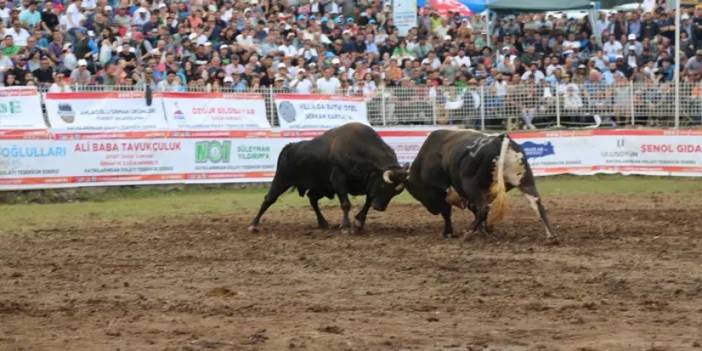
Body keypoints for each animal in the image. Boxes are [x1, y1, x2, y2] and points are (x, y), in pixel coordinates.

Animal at [252, 124, 408, 234]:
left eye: (394, 193)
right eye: (383, 186)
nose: (380, 208)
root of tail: (290, 146)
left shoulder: (369, 186)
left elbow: (368, 202)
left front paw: (359, 222)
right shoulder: (339, 181)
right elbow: (345, 203)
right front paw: (345, 227)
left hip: (320, 187)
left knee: (312, 199)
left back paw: (323, 223)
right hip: (282, 180)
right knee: (269, 199)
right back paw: (254, 224)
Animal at [408, 131, 556, 241]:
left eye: (417, 193)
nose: (433, 211)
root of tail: (500, 140)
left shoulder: (443, 192)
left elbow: (448, 212)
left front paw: (449, 232)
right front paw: (486, 229)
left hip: (470, 185)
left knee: (483, 208)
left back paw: (468, 233)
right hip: (525, 181)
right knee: (537, 203)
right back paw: (551, 236)